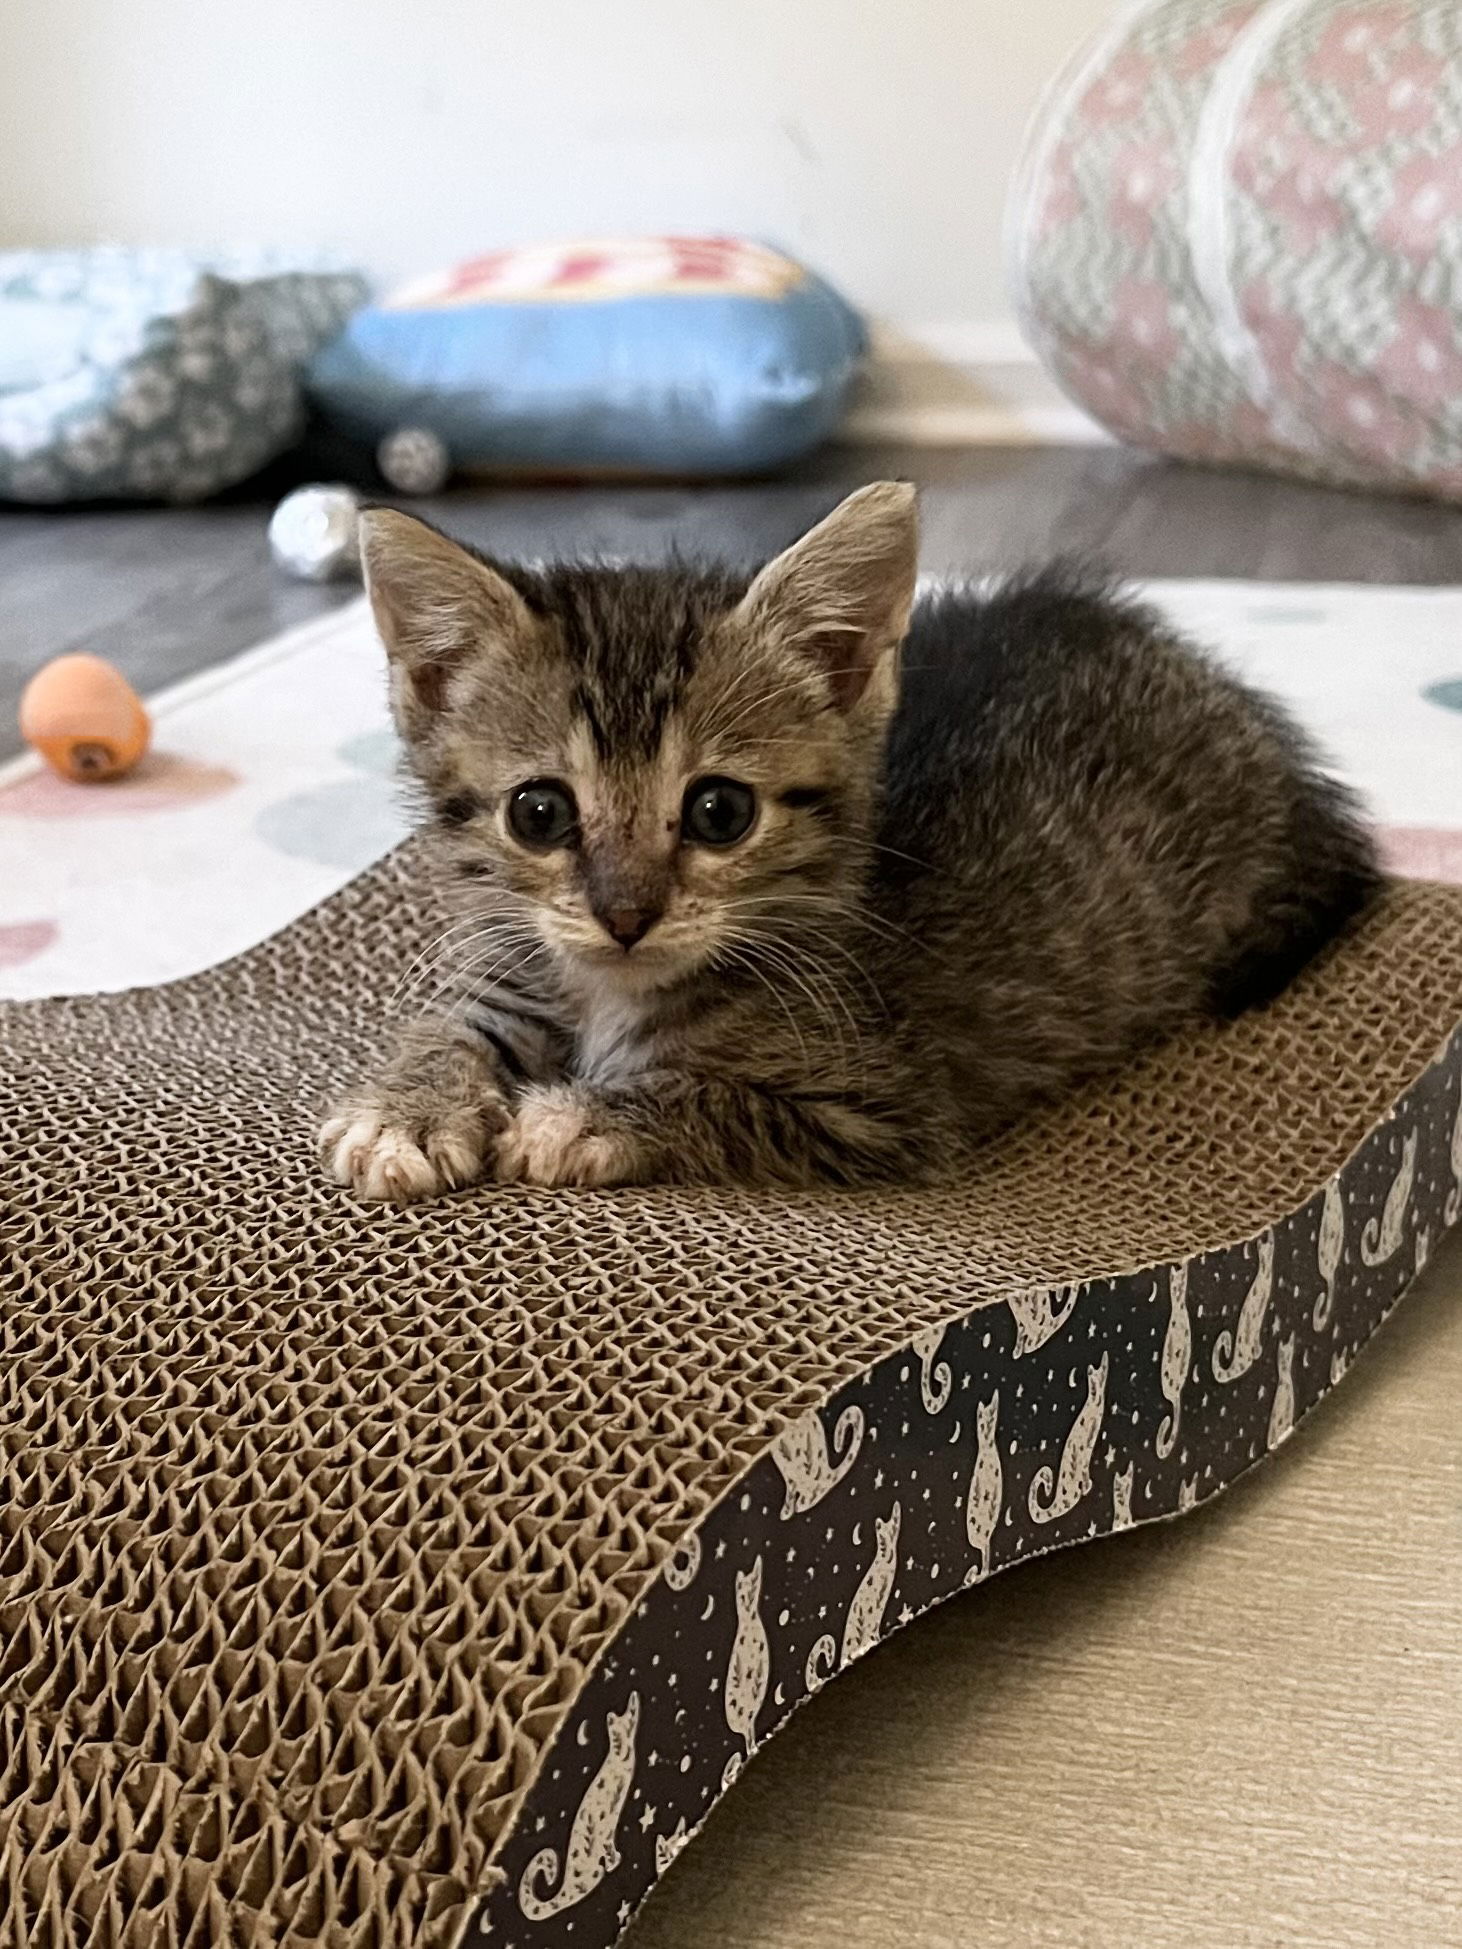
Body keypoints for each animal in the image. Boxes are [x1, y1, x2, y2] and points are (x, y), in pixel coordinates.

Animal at [319, 479, 1387, 1192]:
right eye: (538, 813)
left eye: (719, 812)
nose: (625, 916)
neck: (611, 994)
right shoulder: (518, 969)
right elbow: (455, 1022)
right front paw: (410, 1108)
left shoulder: (884, 1107)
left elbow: (711, 1095)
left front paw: (582, 1114)